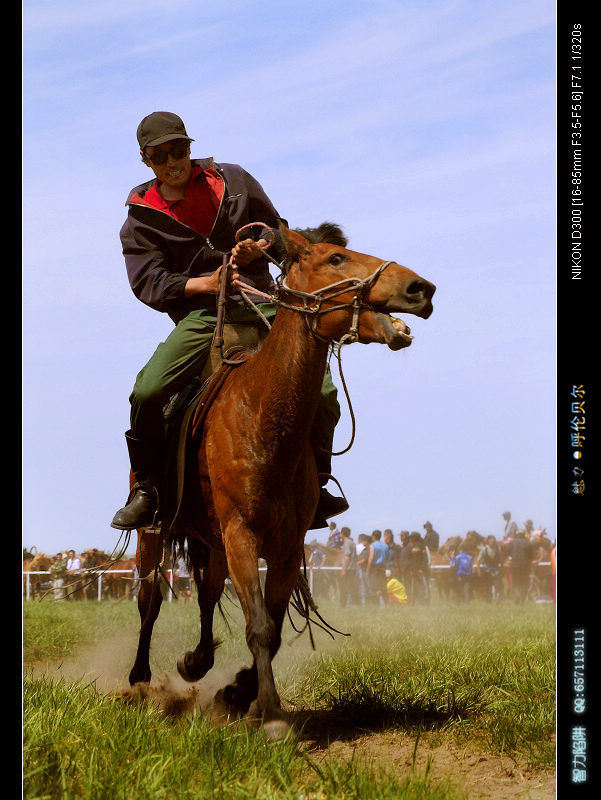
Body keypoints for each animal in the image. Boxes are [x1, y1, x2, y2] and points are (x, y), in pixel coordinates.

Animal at [129, 222, 434, 740]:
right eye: (336, 258)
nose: (420, 289)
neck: (261, 416)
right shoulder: (242, 534)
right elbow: (259, 627)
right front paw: (271, 716)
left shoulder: (287, 546)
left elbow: (268, 626)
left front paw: (239, 693)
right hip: (155, 533)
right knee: (149, 597)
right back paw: (139, 678)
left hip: (213, 541)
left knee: (207, 596)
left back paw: (197, 662)